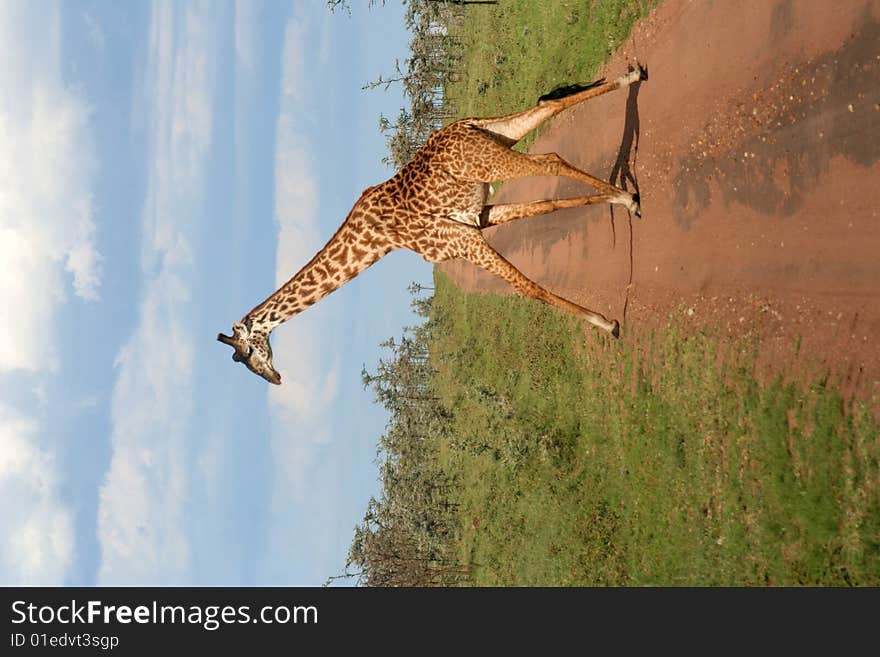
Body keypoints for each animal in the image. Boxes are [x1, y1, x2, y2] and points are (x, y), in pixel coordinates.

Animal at [218, 64, 648, 382]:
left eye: (250, 352)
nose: (276, 379)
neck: (380, 238)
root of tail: (459, 128)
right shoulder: (478, 220)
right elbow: (548, 205)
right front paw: (619, 200)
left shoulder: (463, 242)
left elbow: (531, 289)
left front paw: (605, 323)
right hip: (495, 136)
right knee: (548, 109)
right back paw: (632, 83)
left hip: (493, 160)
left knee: (552, 159)